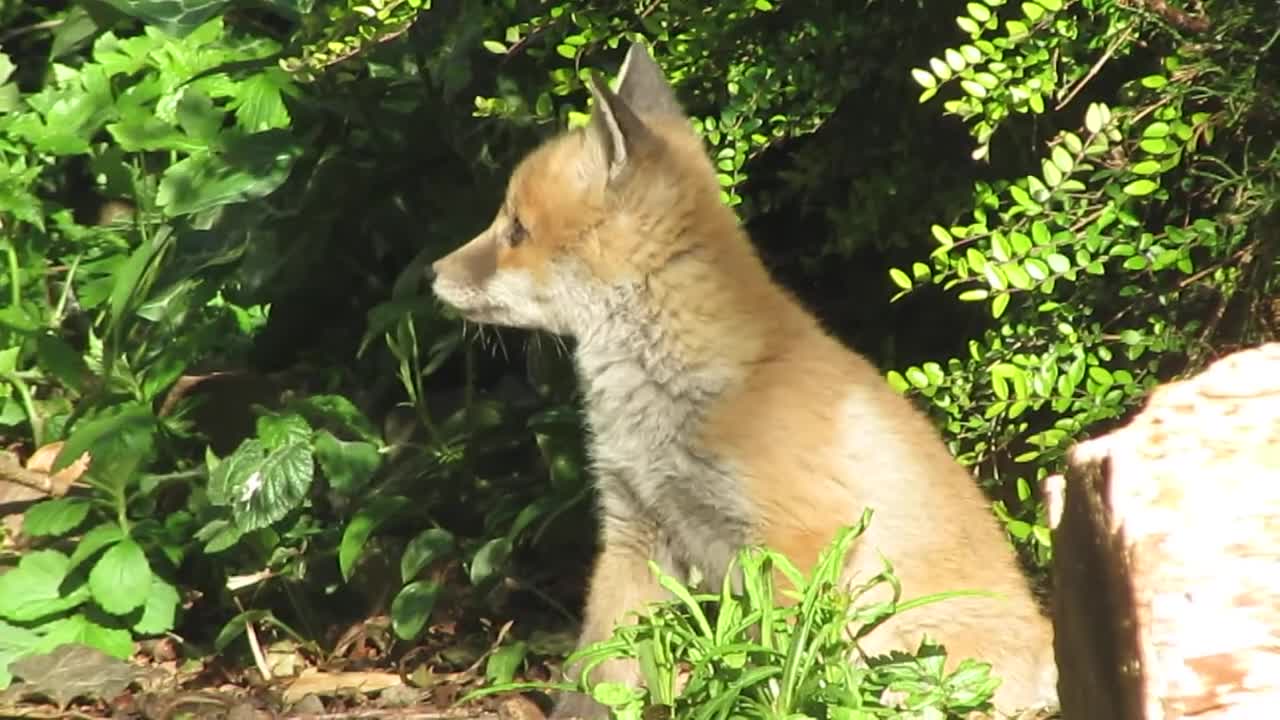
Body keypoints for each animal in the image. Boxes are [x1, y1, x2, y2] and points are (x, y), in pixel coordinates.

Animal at [430, 40, 1059, 717]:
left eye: (517, 229)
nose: (433, 273)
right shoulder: (634, 531)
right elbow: (594, 673)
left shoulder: (795, 543)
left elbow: (780, 675)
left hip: (902, 660)